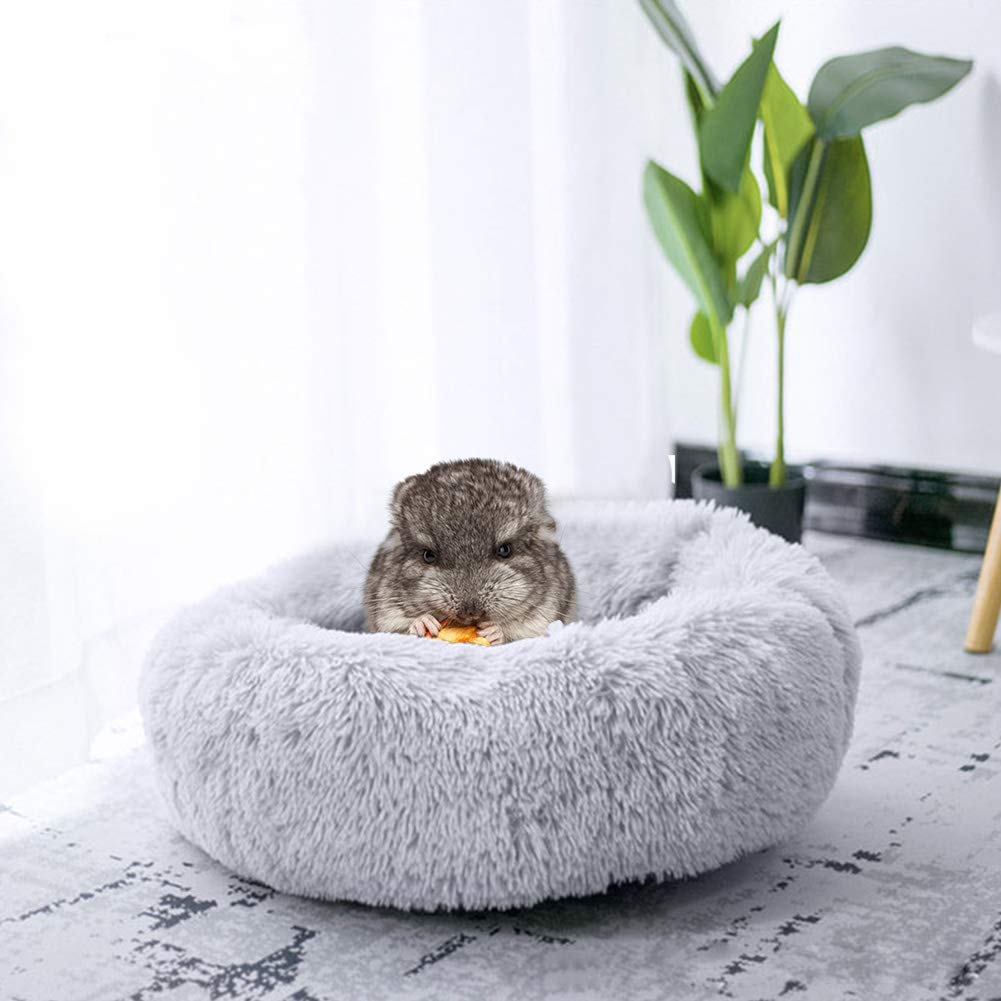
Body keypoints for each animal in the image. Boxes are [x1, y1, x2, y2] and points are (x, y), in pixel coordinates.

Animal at [363, 458, 577, 644]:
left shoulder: (544, 615)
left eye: (505, 550)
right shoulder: (385, 611)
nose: (470, 613)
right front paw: (423, 622)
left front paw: (495, 631)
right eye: (428, 556)